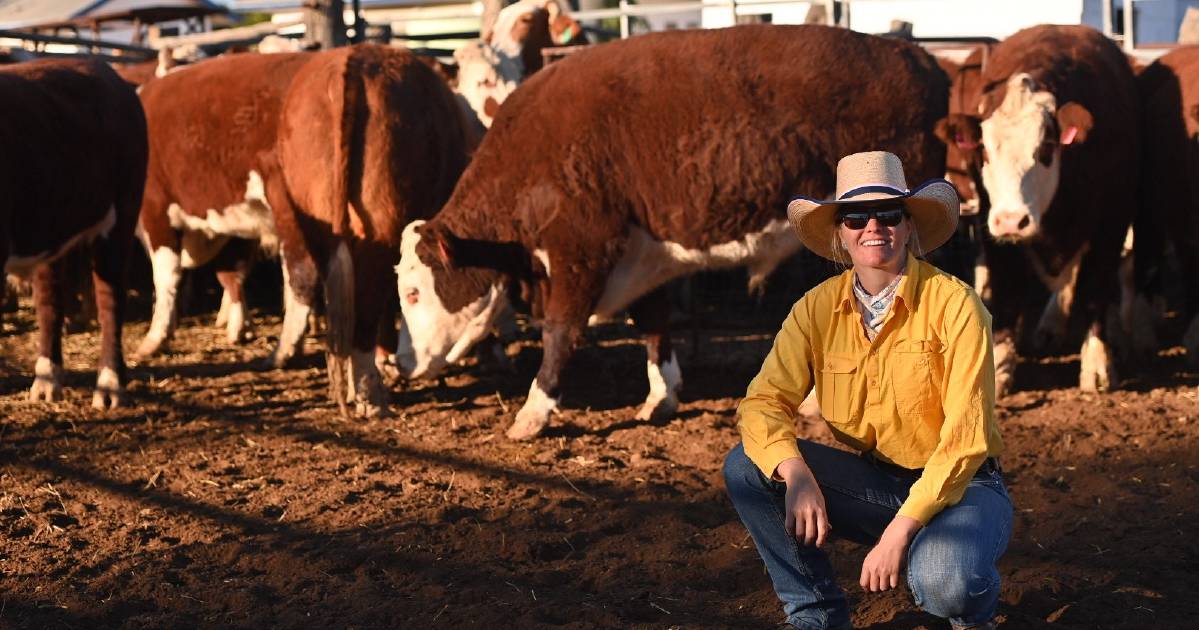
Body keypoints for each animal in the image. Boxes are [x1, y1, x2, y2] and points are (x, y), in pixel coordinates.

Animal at [0, 57, 147, 408]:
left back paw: (109, 386)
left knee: (110, 300)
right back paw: (47, 380)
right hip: (51, 232)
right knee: (50, 303)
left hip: (121, 215)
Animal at [393, 23, 944, 436]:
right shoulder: (642, 255)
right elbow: (654, 322)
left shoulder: (581, 250)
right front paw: (661, 395)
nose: (399, 363)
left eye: (415, 293)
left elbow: (560, 331)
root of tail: (913, 56)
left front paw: (533, 412)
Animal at [930, 27, 1136, 396]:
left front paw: (1097, 364)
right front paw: (1000, 365)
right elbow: (1009, 291)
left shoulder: (1111, 223)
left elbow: (1095, 290)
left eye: (1046, 148)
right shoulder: (991, 226)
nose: (1013, 220)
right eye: (984, 151)